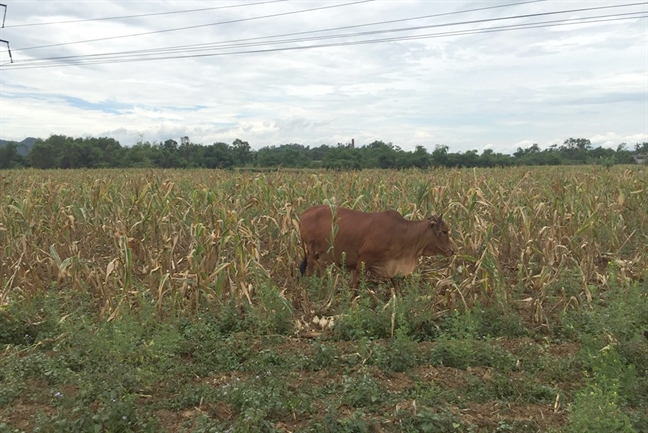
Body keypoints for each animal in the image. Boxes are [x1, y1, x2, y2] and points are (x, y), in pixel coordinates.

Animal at [300, 205, 456, 288]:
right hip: (311, 247)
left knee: (311, 266)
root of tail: (306, 211)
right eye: (444, 231)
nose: (452, 251)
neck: (401, 232)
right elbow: (356, 283)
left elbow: (395, 284)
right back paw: (326, 278)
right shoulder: (364, 259)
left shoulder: (390, 265)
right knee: (313, 261)